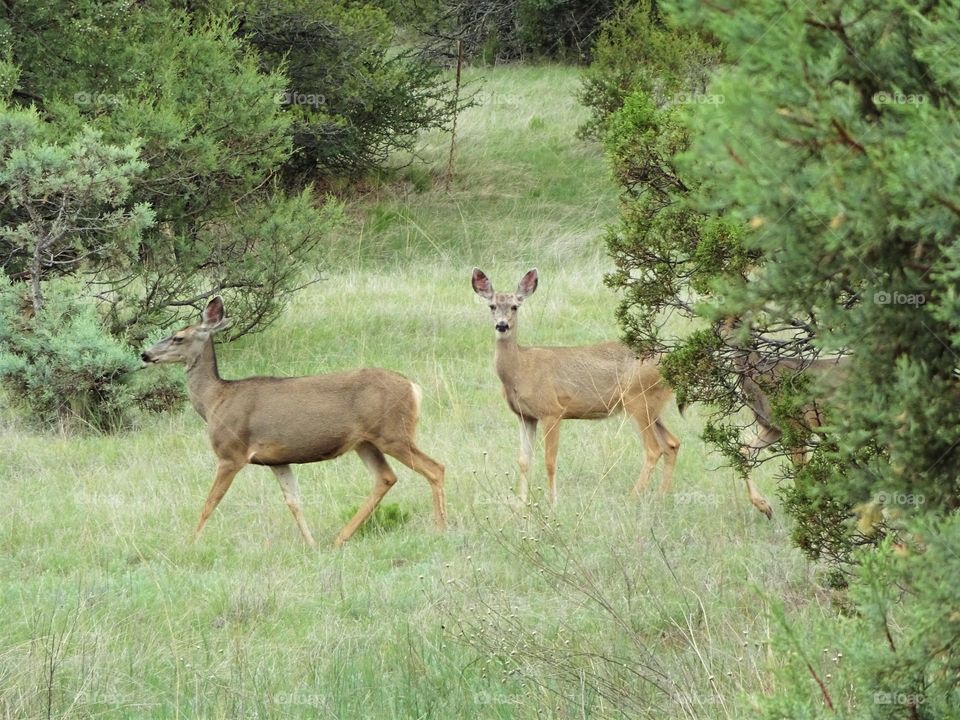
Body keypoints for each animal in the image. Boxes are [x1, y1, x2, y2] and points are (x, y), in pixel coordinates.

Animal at [141, 296, 448, 548]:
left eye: (178, 337)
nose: (146, 354)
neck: (215, 401)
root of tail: (413, 388)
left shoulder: (231, 453)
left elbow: (209, 503)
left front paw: (189, 544)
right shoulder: (277, 460)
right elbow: (294, 502)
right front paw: (310, 545)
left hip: (393, 433)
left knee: (435, 468)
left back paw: (440, 528)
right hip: (366, 442)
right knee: (385, 477)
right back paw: (339, 538)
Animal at [470, 268, 680, 510]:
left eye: (515, 306)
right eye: (492, 306)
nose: (502, 325)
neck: (520, 369)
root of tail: (671, 362)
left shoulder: (552, 410)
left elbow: (550, 460)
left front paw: (553, 502)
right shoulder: (525, 416)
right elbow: (523, 460)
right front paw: (521, 504)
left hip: (637, 399)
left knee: (654, 449)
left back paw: (633, 498)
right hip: (653, 406)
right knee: (672, 444)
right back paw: (661, 497)